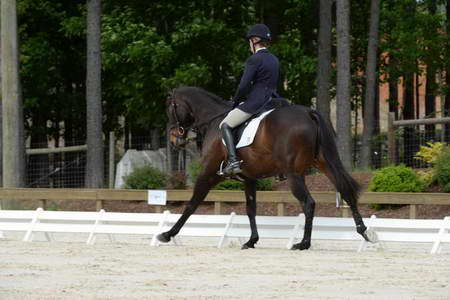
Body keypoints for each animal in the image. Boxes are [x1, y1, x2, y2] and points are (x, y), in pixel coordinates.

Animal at [158, 87, 376, 251]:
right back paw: (364, 232)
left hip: (294, 174)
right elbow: (251, 208)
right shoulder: (249, 178)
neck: (213, 120)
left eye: (170, 108)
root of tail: (308, 113)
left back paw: (303, 243)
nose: (174, 140)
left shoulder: (209, 173)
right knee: (346, 191)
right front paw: (251, 240)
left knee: (308, 203)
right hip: (325, 164)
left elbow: (192, 204)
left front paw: (167, 234)